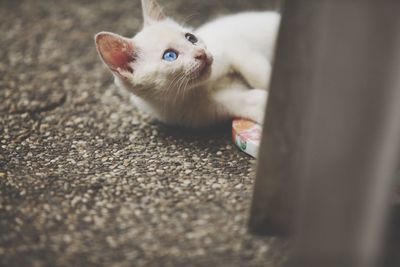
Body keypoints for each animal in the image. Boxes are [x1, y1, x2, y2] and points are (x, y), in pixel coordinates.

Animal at [95, 0, 280, 129]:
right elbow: (253, 100)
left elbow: (257, 73)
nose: (201, 54)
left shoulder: (235, 48)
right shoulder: (218, 105)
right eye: (170, 56)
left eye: (191, 38)